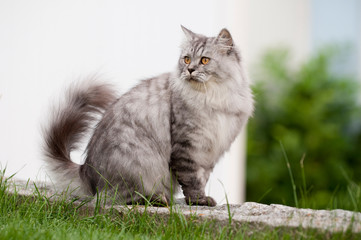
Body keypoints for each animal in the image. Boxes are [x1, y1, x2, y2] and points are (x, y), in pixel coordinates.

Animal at [43, 25, 253, 206]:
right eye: (186, 59)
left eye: (204, 60)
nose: (190, 70)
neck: (214, 97)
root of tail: (86, 171)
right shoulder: (187, 146)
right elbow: (192, 180)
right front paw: (198, 201)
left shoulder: (210, 152)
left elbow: (201, 178)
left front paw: (198, 200)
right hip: (138, 165)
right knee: (120, 198)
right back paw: (157, 200)